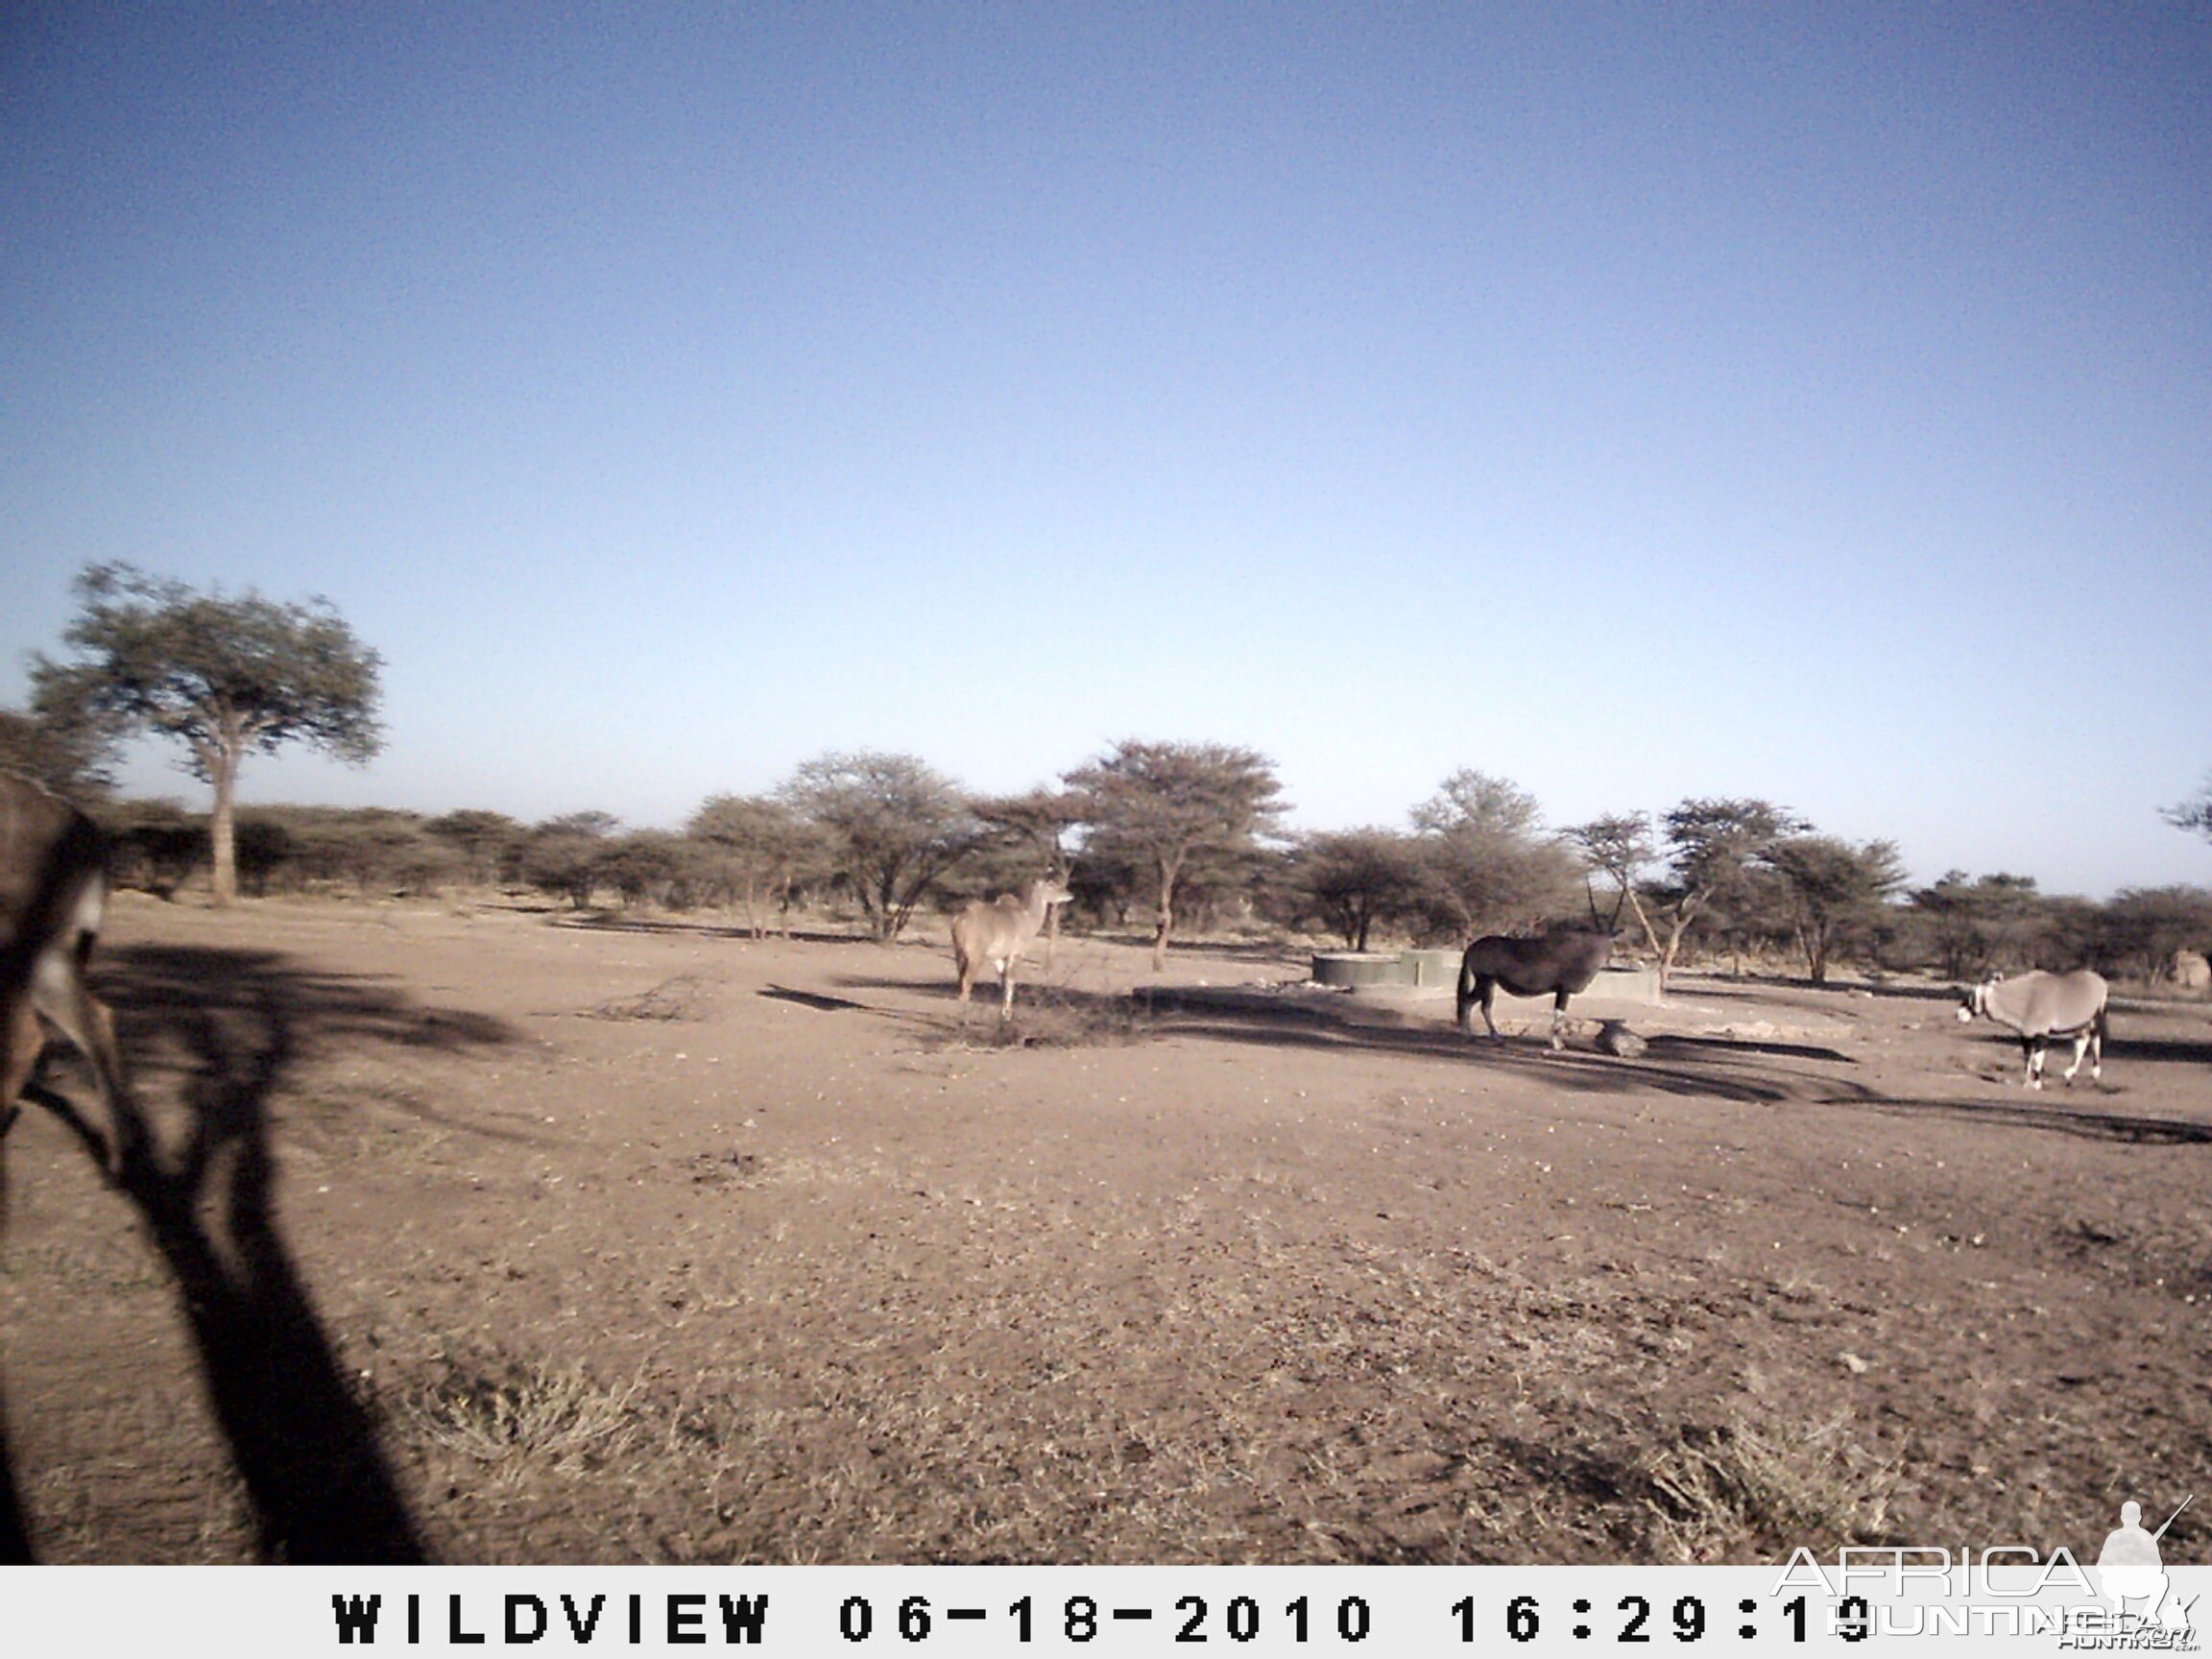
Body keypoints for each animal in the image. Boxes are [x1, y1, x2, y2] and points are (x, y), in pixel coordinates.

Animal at [950, 876, 1070, 1022]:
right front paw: (1008, 1015)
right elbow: (1011, 980)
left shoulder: (999, 958)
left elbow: (1003, 981)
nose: (1069, 894)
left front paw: (1003, 1013)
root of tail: (960, 920)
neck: (1027, 918)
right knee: (967, 983)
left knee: (961, 982)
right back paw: (964, 1019)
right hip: (975, 957)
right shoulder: (1016, 954)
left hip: (959, 954)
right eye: (1051, 884)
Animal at [1459, 928, 1619, 1057]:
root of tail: (1472, 947)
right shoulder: (1564, 990)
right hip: (1484, 981)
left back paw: (1494, 1038)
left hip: (1490, 983)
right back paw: (1471, 1036)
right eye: (1603, 944)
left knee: (1483, 1006)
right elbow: (1559, 1016)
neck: (1583, 950)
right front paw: (1557, 1045)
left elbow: (1559, 1016)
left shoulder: (1561, 992)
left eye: (1609, 943)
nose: (1604, 960)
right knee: (1469, 1002)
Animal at [1973, 973, 2105, 1093]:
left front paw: (2036, 1084)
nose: (1965, 1014)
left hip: (2095, 1019)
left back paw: (2095, 1072)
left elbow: (2037, 1058)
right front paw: (2026, 1082)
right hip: (2082, 1025)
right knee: (2082, 1041)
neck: (2025, 996)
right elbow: (2027, 1057)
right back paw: (2069, 1073)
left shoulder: (2041, 1035)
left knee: (2095, 1039)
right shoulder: (2027, 1036)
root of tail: (2100, 981)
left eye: (1973, 997)